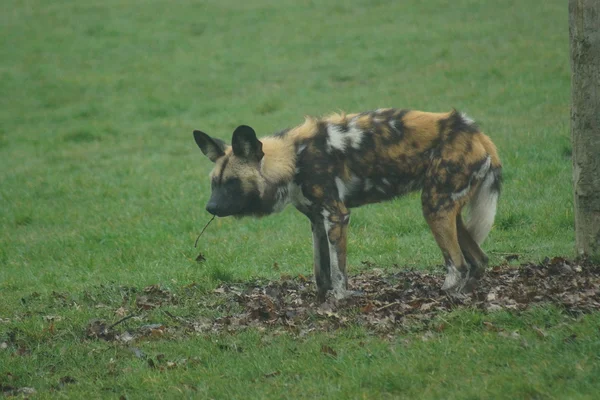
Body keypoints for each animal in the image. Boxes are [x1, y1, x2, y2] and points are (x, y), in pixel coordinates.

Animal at [192, 108, 502, 300]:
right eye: (214, 183)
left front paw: (338, 303)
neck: (294, 159)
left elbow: (339, 272)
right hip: (446, 209)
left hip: (434, 207)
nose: (210, 208)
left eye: (232, 182)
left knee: (458, 265)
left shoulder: (336, 216)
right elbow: (321, 273)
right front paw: (319, 302)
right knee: (478, 260)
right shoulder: (318, 222)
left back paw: (449, 296)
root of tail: (473, 130)